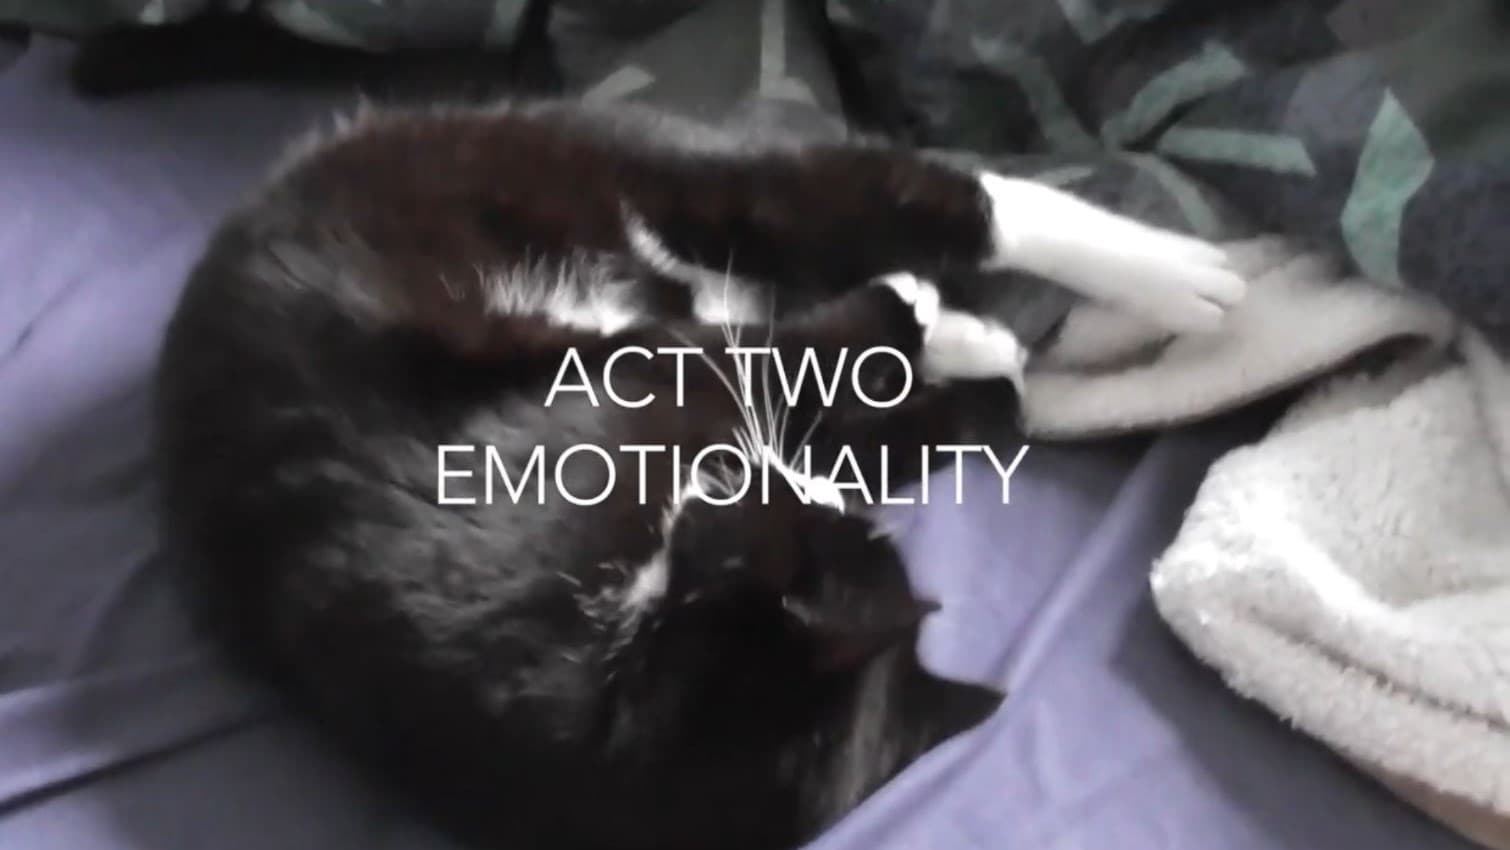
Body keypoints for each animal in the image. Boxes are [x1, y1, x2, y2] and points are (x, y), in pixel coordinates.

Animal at [152, 98, 1244, 850]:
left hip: (651, 178)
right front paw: (964, 357)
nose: (799, 491)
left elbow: (808, 356)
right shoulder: (675, 398)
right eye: (838, 538)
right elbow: (834, 385)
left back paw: (1190, 276)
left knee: (933, 199)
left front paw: (939, 333)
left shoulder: (634, 384)